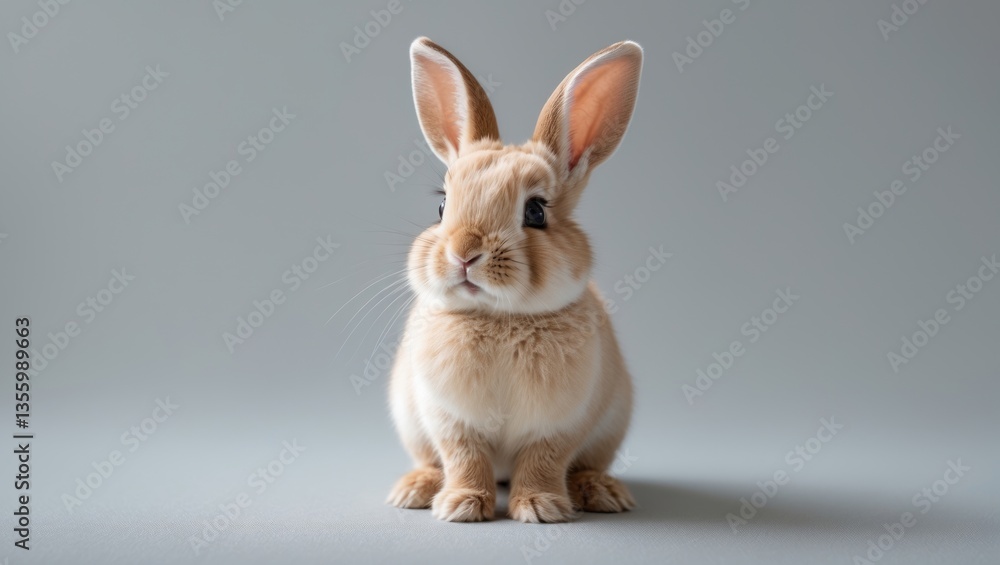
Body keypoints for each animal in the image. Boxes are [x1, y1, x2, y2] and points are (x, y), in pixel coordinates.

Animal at [386, 37, 643, 523]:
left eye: (536, 212)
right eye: (442, 206)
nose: (465, 253)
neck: (499, 317)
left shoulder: (560, 424)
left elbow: (544, 461)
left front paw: (541, 507)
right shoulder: (449, 419)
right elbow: (463, 458)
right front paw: (462, 506)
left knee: (585, 465)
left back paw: (602, 493)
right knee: (431, 461)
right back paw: (413, 490)